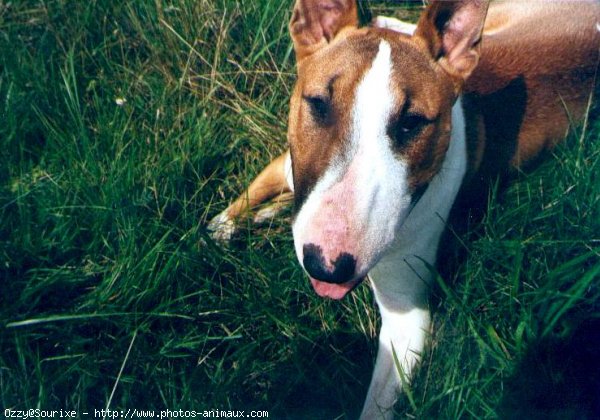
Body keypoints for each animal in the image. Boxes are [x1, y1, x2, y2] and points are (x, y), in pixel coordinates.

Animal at [207, 0, 600, 416]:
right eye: (318, 104)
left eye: (412, 123)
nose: (326, 266)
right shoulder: (286, 164)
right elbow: (246, 198)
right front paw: (218, 230)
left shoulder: (407, 322)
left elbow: (377, 405)